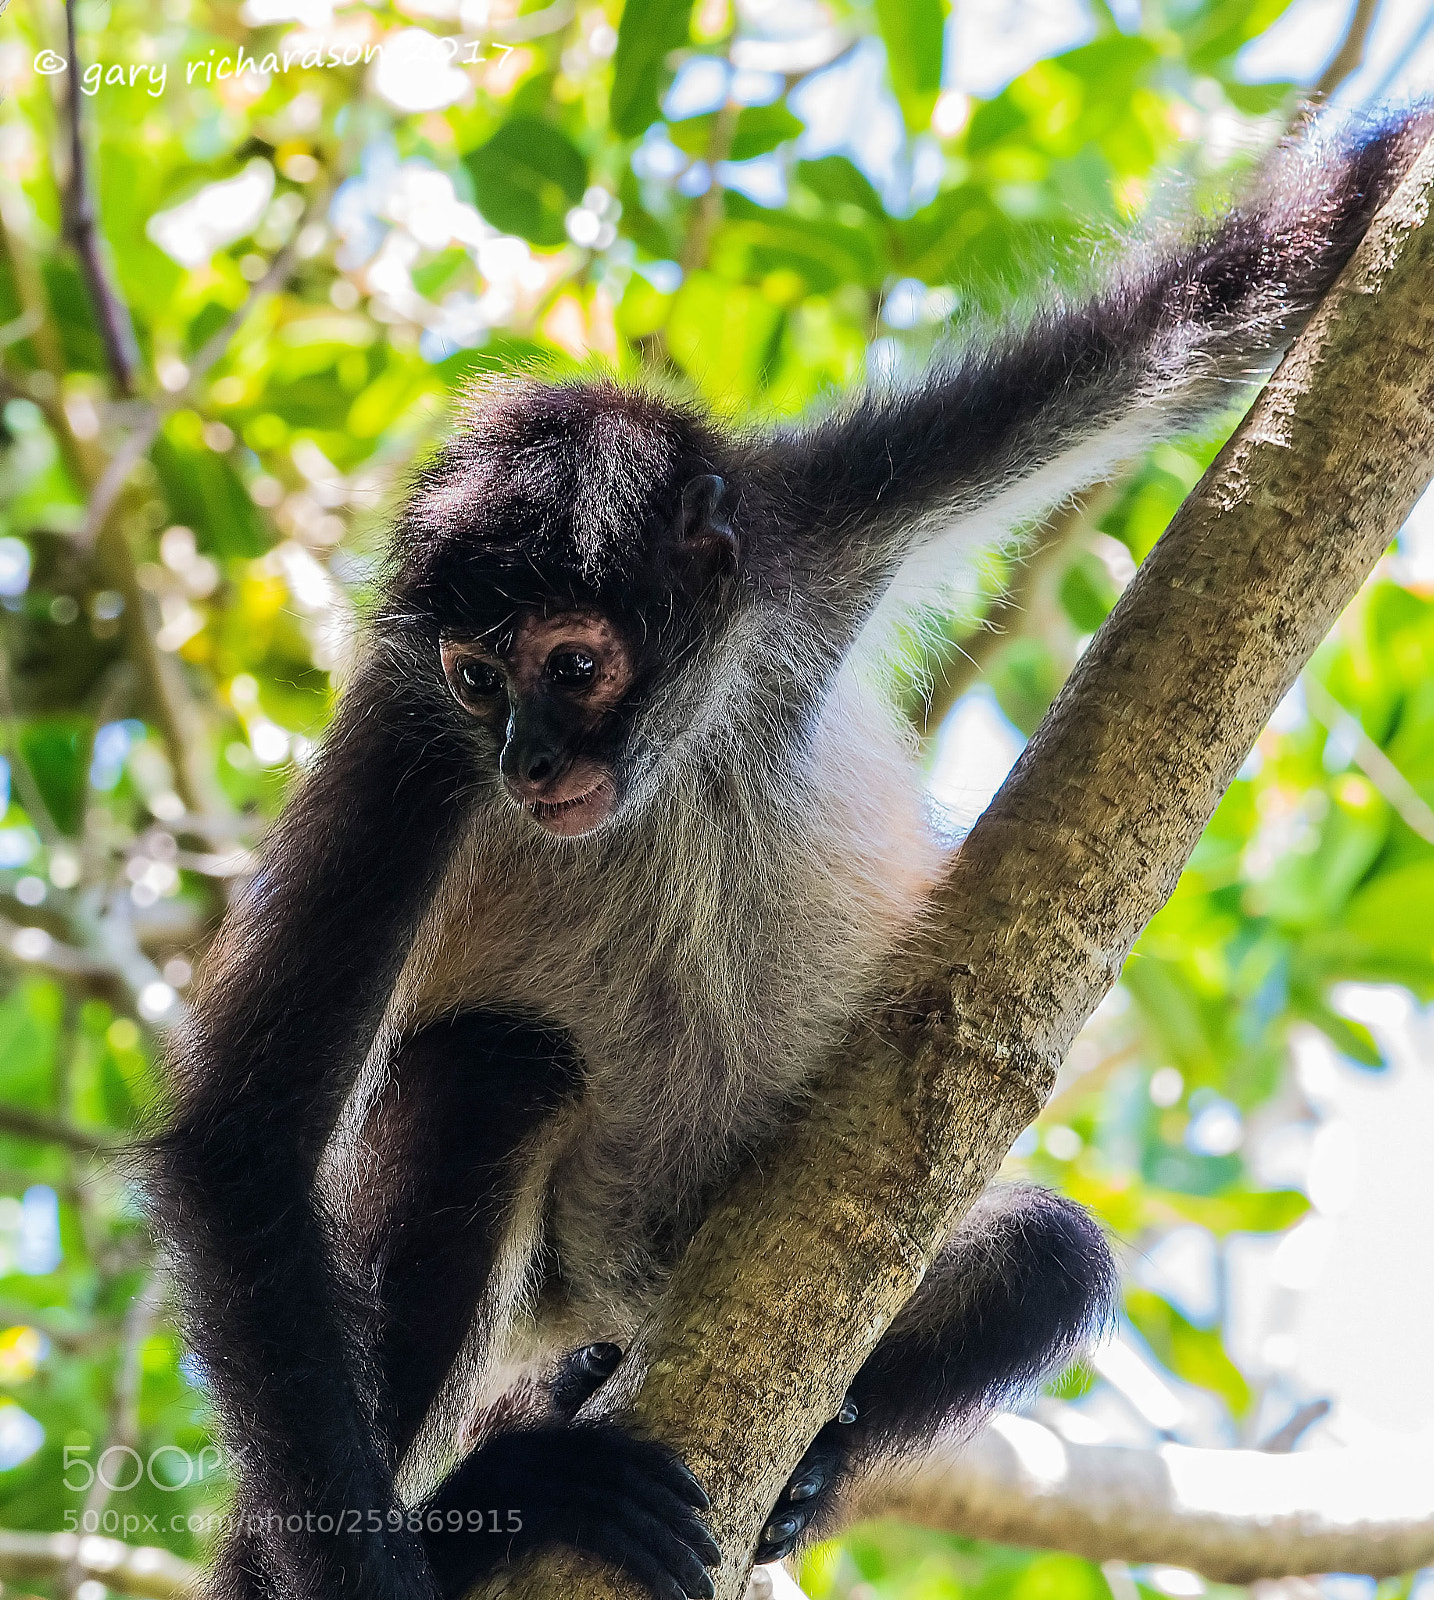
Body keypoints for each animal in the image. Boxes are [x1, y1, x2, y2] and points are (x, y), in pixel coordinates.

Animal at [145, 110, 1430, 1600]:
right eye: (476, 679)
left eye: (572, 665)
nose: (527, 765)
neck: (676, 749)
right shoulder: (410, 743)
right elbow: (244, 1142)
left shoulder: (809, 521)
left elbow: (1225, 297)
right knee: (488, 1068)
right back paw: (494, 1504)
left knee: (1046, 1255)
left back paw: (785, 1467)